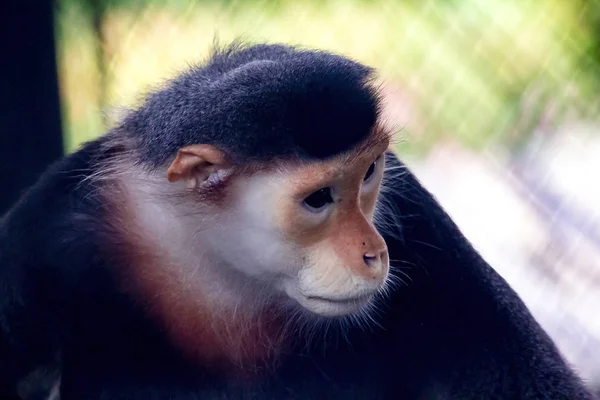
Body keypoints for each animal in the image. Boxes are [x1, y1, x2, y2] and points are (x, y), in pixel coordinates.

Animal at [0, 42, 596, 398]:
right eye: (317, 200)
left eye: (368, 174)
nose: (373, 253)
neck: (218, 270)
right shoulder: (52, 232)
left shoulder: (413, 213)